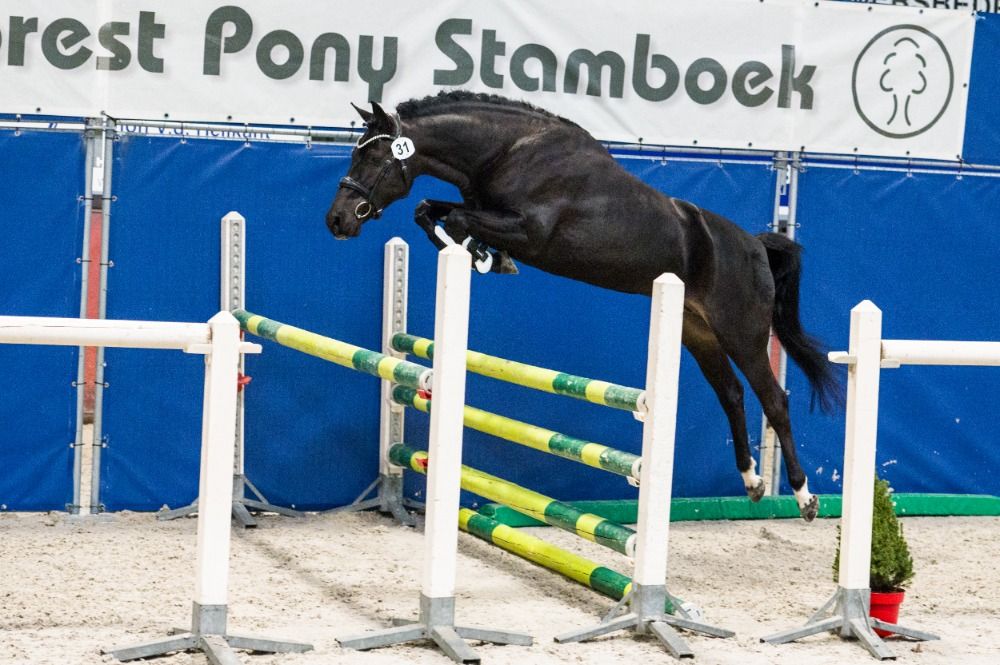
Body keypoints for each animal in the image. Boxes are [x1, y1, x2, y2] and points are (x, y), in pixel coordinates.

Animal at [326, 91, 841, 521]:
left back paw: (804, 497)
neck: (508, 151)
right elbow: (429, 211)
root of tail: (754, 245)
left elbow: (454, 219)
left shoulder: (529, 231)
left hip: (742, 333)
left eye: (373, 155)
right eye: (356, 150)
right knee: (731, 394)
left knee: (773, 399)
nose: (337, 220)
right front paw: (479, 255)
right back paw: (752, 481)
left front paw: (481, 255)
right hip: (697, 332)